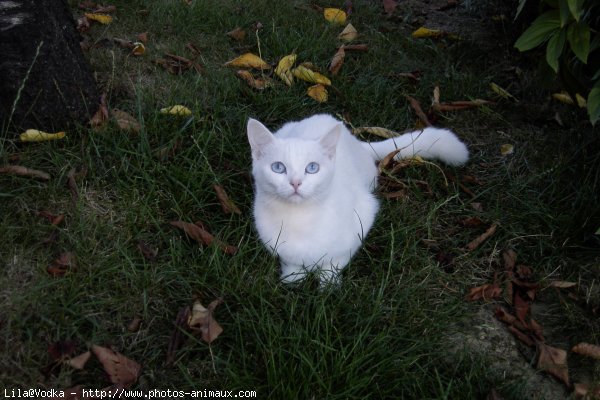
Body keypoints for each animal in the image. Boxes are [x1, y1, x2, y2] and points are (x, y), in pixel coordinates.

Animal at [247, 114, 468, 286]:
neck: (298, 219)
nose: (295, 183)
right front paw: (293, 279)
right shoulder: (279, 246)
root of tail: (353, 139)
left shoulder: (362, 219)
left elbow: (334, 261)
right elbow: (292, 261)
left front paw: (328, 285)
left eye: (312, 168)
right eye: (278, 167)